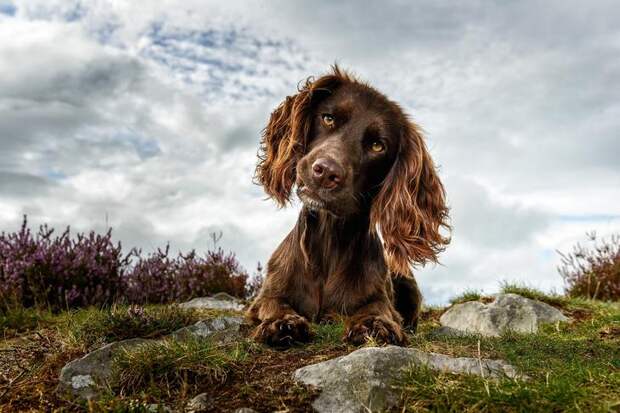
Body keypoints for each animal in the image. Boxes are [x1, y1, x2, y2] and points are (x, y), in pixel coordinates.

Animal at [247, 67, 450, 344]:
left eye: (377, 145)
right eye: (328, 119)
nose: (325, 172)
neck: (329, 239)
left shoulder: (380, 298)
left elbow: (378, 309)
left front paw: (374, 324)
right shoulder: (266, 295)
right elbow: (274, 304)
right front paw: (282, 323)